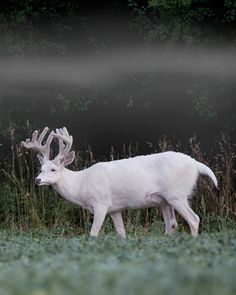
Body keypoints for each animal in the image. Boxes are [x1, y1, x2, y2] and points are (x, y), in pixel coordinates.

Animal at [21, 127, 218, 238]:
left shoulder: (101, 203)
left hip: (177, 193)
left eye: (53, 169)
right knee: (172, 224)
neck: (81, 185)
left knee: (194, 219)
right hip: (164, 200)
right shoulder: (115, 209)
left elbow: (93, 234)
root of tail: (196, 164)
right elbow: (121, 234)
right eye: (41, 169)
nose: (37, 180)